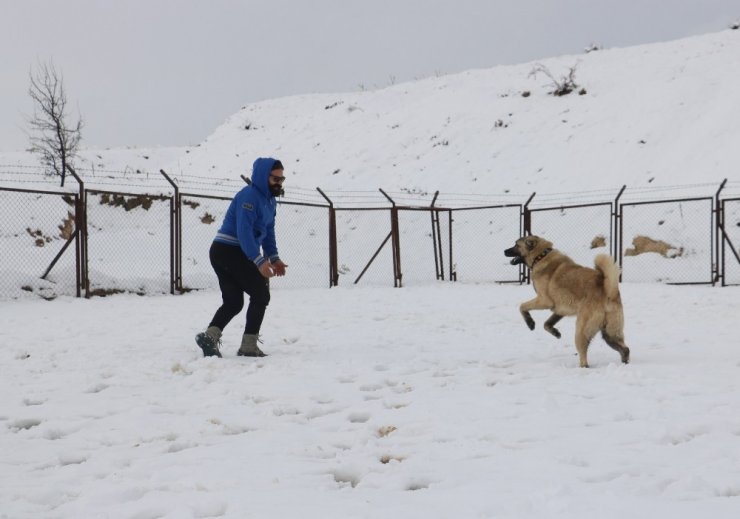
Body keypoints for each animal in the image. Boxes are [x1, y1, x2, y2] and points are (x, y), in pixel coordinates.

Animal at [502, 236, 632, 370]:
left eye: (517, 245)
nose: (504, 251)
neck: (541, 256)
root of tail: (609, 291)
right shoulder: (560, 310)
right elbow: (546, 324)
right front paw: (555, 332)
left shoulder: (544, 301)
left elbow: (522, 306)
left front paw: (530, 323)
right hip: (610, 334)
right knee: (625, 349)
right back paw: (624, 362)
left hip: (582, 331)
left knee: (584, 359)